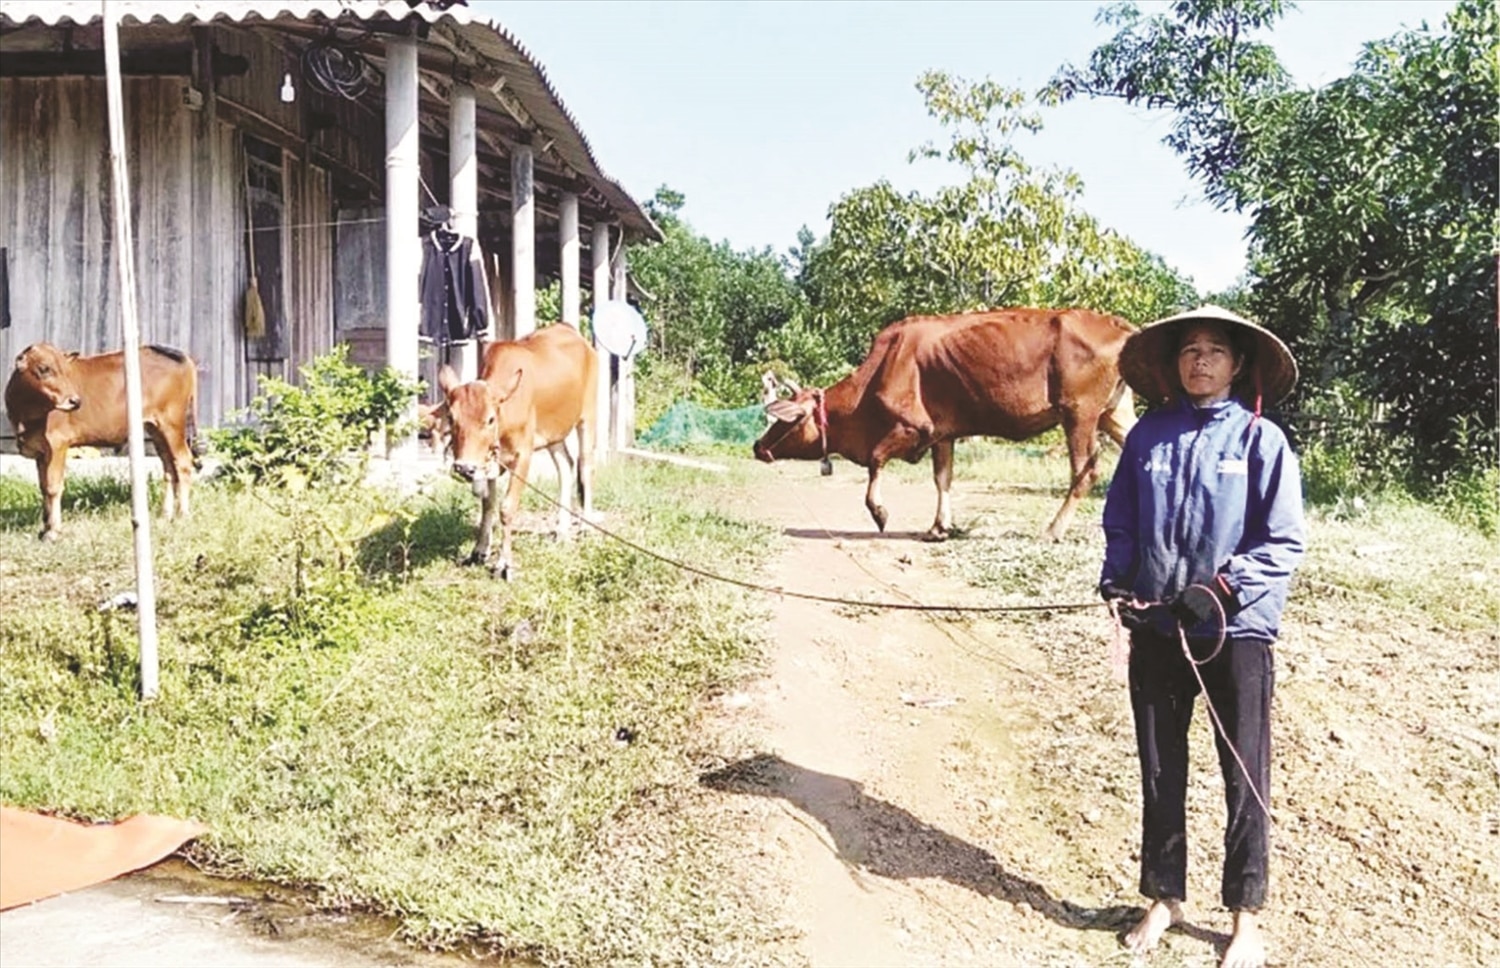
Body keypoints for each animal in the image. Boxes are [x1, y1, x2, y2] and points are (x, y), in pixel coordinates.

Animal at [3, 337, 199, 537]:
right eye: (44, 369)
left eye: (66, 369)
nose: (75, 401)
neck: (24, 414)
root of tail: (178, 355)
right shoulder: (40, 450)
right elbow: (43, 487)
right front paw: (44, 529)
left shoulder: (57, 444)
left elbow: (53, 487)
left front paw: (53, 531)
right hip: (156, 429)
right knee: (169, 466)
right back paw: (166, 514)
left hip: (172, 424)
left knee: (183, 462)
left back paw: (182, 514)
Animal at [438, 324, 600, 582]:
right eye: (452, 418)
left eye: (490, 419)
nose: (464, 467)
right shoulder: (489, 461)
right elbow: (488, 504)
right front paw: (479, 552)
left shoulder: (523, 455)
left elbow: (506, 508)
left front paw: (505, 564)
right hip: (553, 433)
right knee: (566, 466)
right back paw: (561, 530)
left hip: (587, 417)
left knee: (585, 467)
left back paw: (584, 527)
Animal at [750, 306, 1134, 540]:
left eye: (787, 419)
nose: (758, 446)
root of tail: (1117, 324)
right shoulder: (942, 434)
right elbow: (943, 479)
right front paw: (939, 527)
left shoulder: (913, 428)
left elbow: (876, 461)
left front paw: (880, 513)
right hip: (1114, 413)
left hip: (1080, 414)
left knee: (1085, 472)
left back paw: (1054, 529)